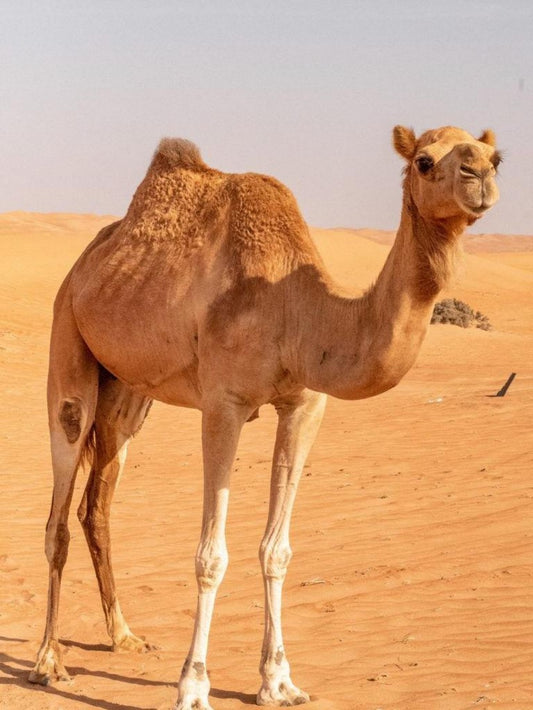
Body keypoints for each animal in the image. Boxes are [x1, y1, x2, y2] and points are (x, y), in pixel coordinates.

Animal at [29, 124, 500, 708]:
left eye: (496, 157)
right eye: (425, 161)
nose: (480, 175)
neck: (296, 310)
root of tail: (86, 262)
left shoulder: (305, 405)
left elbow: (277, 550)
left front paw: (278, 680)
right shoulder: (223, 404)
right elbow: (210, 556)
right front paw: (193, 684)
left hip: (128, 393)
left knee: (97, 504)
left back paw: (124, 636)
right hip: (68, 342)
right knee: (59, 509)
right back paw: (49, 662)